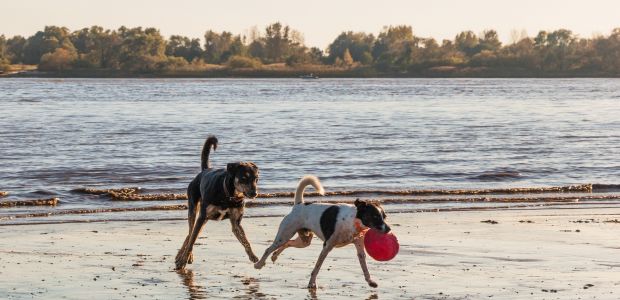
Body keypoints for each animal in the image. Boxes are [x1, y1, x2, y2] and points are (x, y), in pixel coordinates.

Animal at [176, 135, 260, 270]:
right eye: (244, 178)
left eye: (256, 178)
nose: (254, 193)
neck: (229, 196)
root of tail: (205, 171)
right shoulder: (202, 216)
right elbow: (192, 240)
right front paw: (183, 261)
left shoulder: (236, 223)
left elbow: (245, 241)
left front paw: (253, 256)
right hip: (194, 210)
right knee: (191, 231)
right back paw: (183, 257)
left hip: (203, 218)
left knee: (191, 234)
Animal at [253, 175, 390, 290]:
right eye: (375, 217)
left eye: (384, 217)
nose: (389, 229)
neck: (353, 221)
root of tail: (299, 205)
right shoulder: (327, 246)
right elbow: (317, 267)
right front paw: (312, 283)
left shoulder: (359, 248)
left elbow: (364, 267)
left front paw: (370, 281)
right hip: (285, 234)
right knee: (270, 248)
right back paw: (259, 264)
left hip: (304, 240)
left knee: (288, 243)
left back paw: (274, 256)